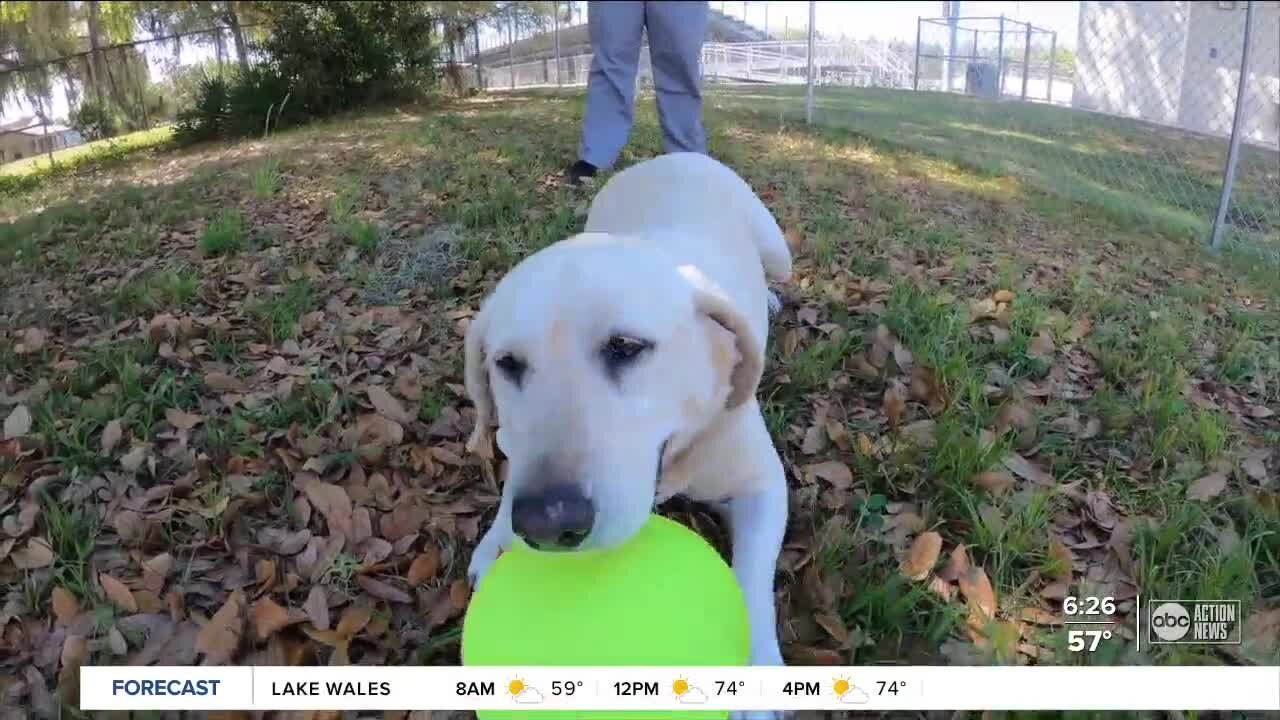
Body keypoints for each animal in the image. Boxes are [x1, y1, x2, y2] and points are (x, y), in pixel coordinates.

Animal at [465, 152, 793, 696]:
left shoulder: (764, 484)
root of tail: (673, 155)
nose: (548, 523)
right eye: (507, 363)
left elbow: (752, 575)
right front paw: (497, 538)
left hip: (776, 246)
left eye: (625, 347)